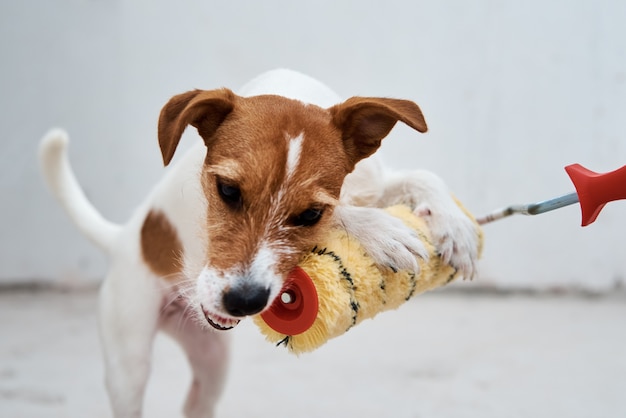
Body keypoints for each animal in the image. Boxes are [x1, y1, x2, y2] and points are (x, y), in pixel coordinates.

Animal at [39, 70, 478, 416]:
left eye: (308, 214)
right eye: (228, 190)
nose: (244, 301)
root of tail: (123, 238)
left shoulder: (371, 183)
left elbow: (421, 177)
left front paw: (456, 227)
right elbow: (346, 210)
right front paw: (383, 232)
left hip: (212, 360)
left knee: (196, 404)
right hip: (128, 361)